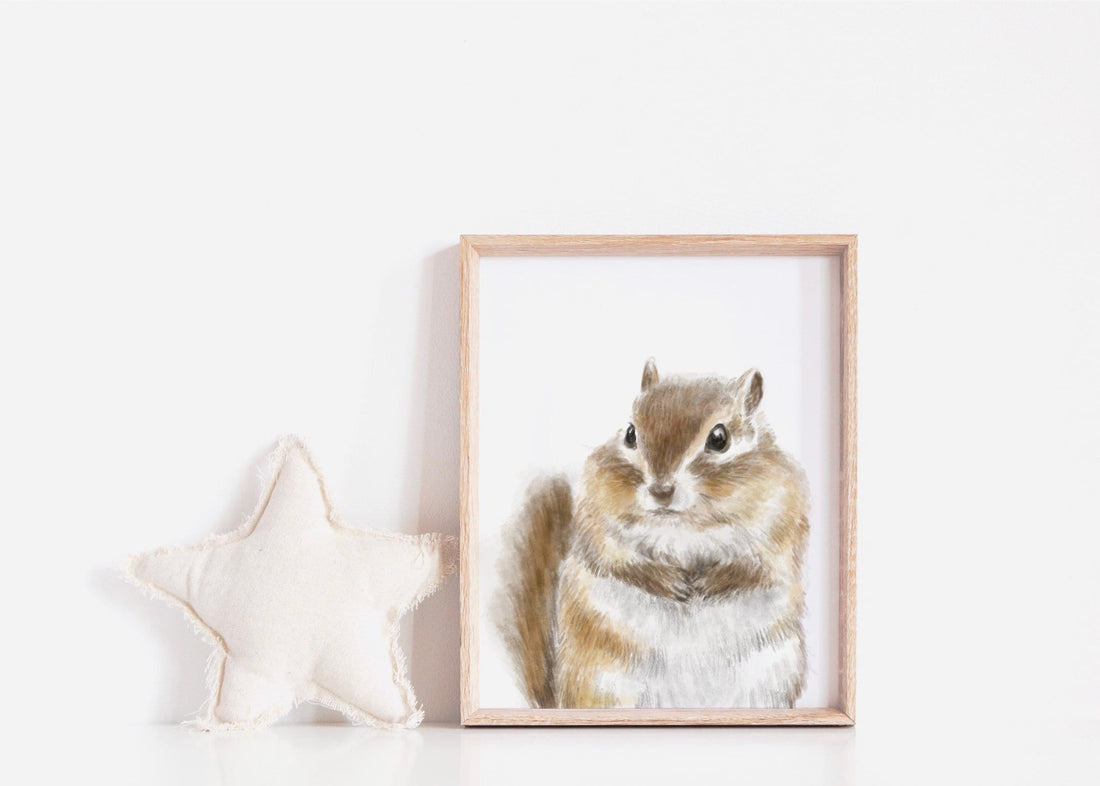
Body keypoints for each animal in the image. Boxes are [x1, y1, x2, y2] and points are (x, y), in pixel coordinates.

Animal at [496, 359, 809, 709]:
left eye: (719, 438)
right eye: (631, 433)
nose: (661, 490)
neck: (684, 525)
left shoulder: (782, 526)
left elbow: (758, 569)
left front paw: (712, 580)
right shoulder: (597, 523)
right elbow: (617, 561)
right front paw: (667, 581)